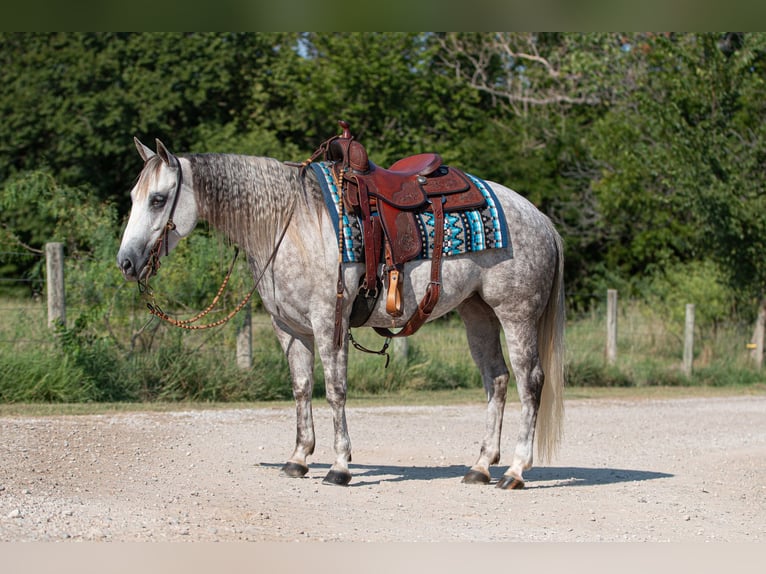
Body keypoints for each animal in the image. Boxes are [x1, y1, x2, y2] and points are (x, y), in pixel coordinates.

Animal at [117, 136, 568, 490]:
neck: (289, 223)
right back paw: (480, 467)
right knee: (497, 380)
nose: (126, 262)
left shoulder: (327, 321)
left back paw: (515, 471)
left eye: (158, 199)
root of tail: (540, 218)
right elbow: (301, 388)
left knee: (530, 381)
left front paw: (339, 466)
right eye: (134, 197)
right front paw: (298, 459)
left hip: (517, 314)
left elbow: (335, 389)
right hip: (478, 314)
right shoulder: (289, 328)